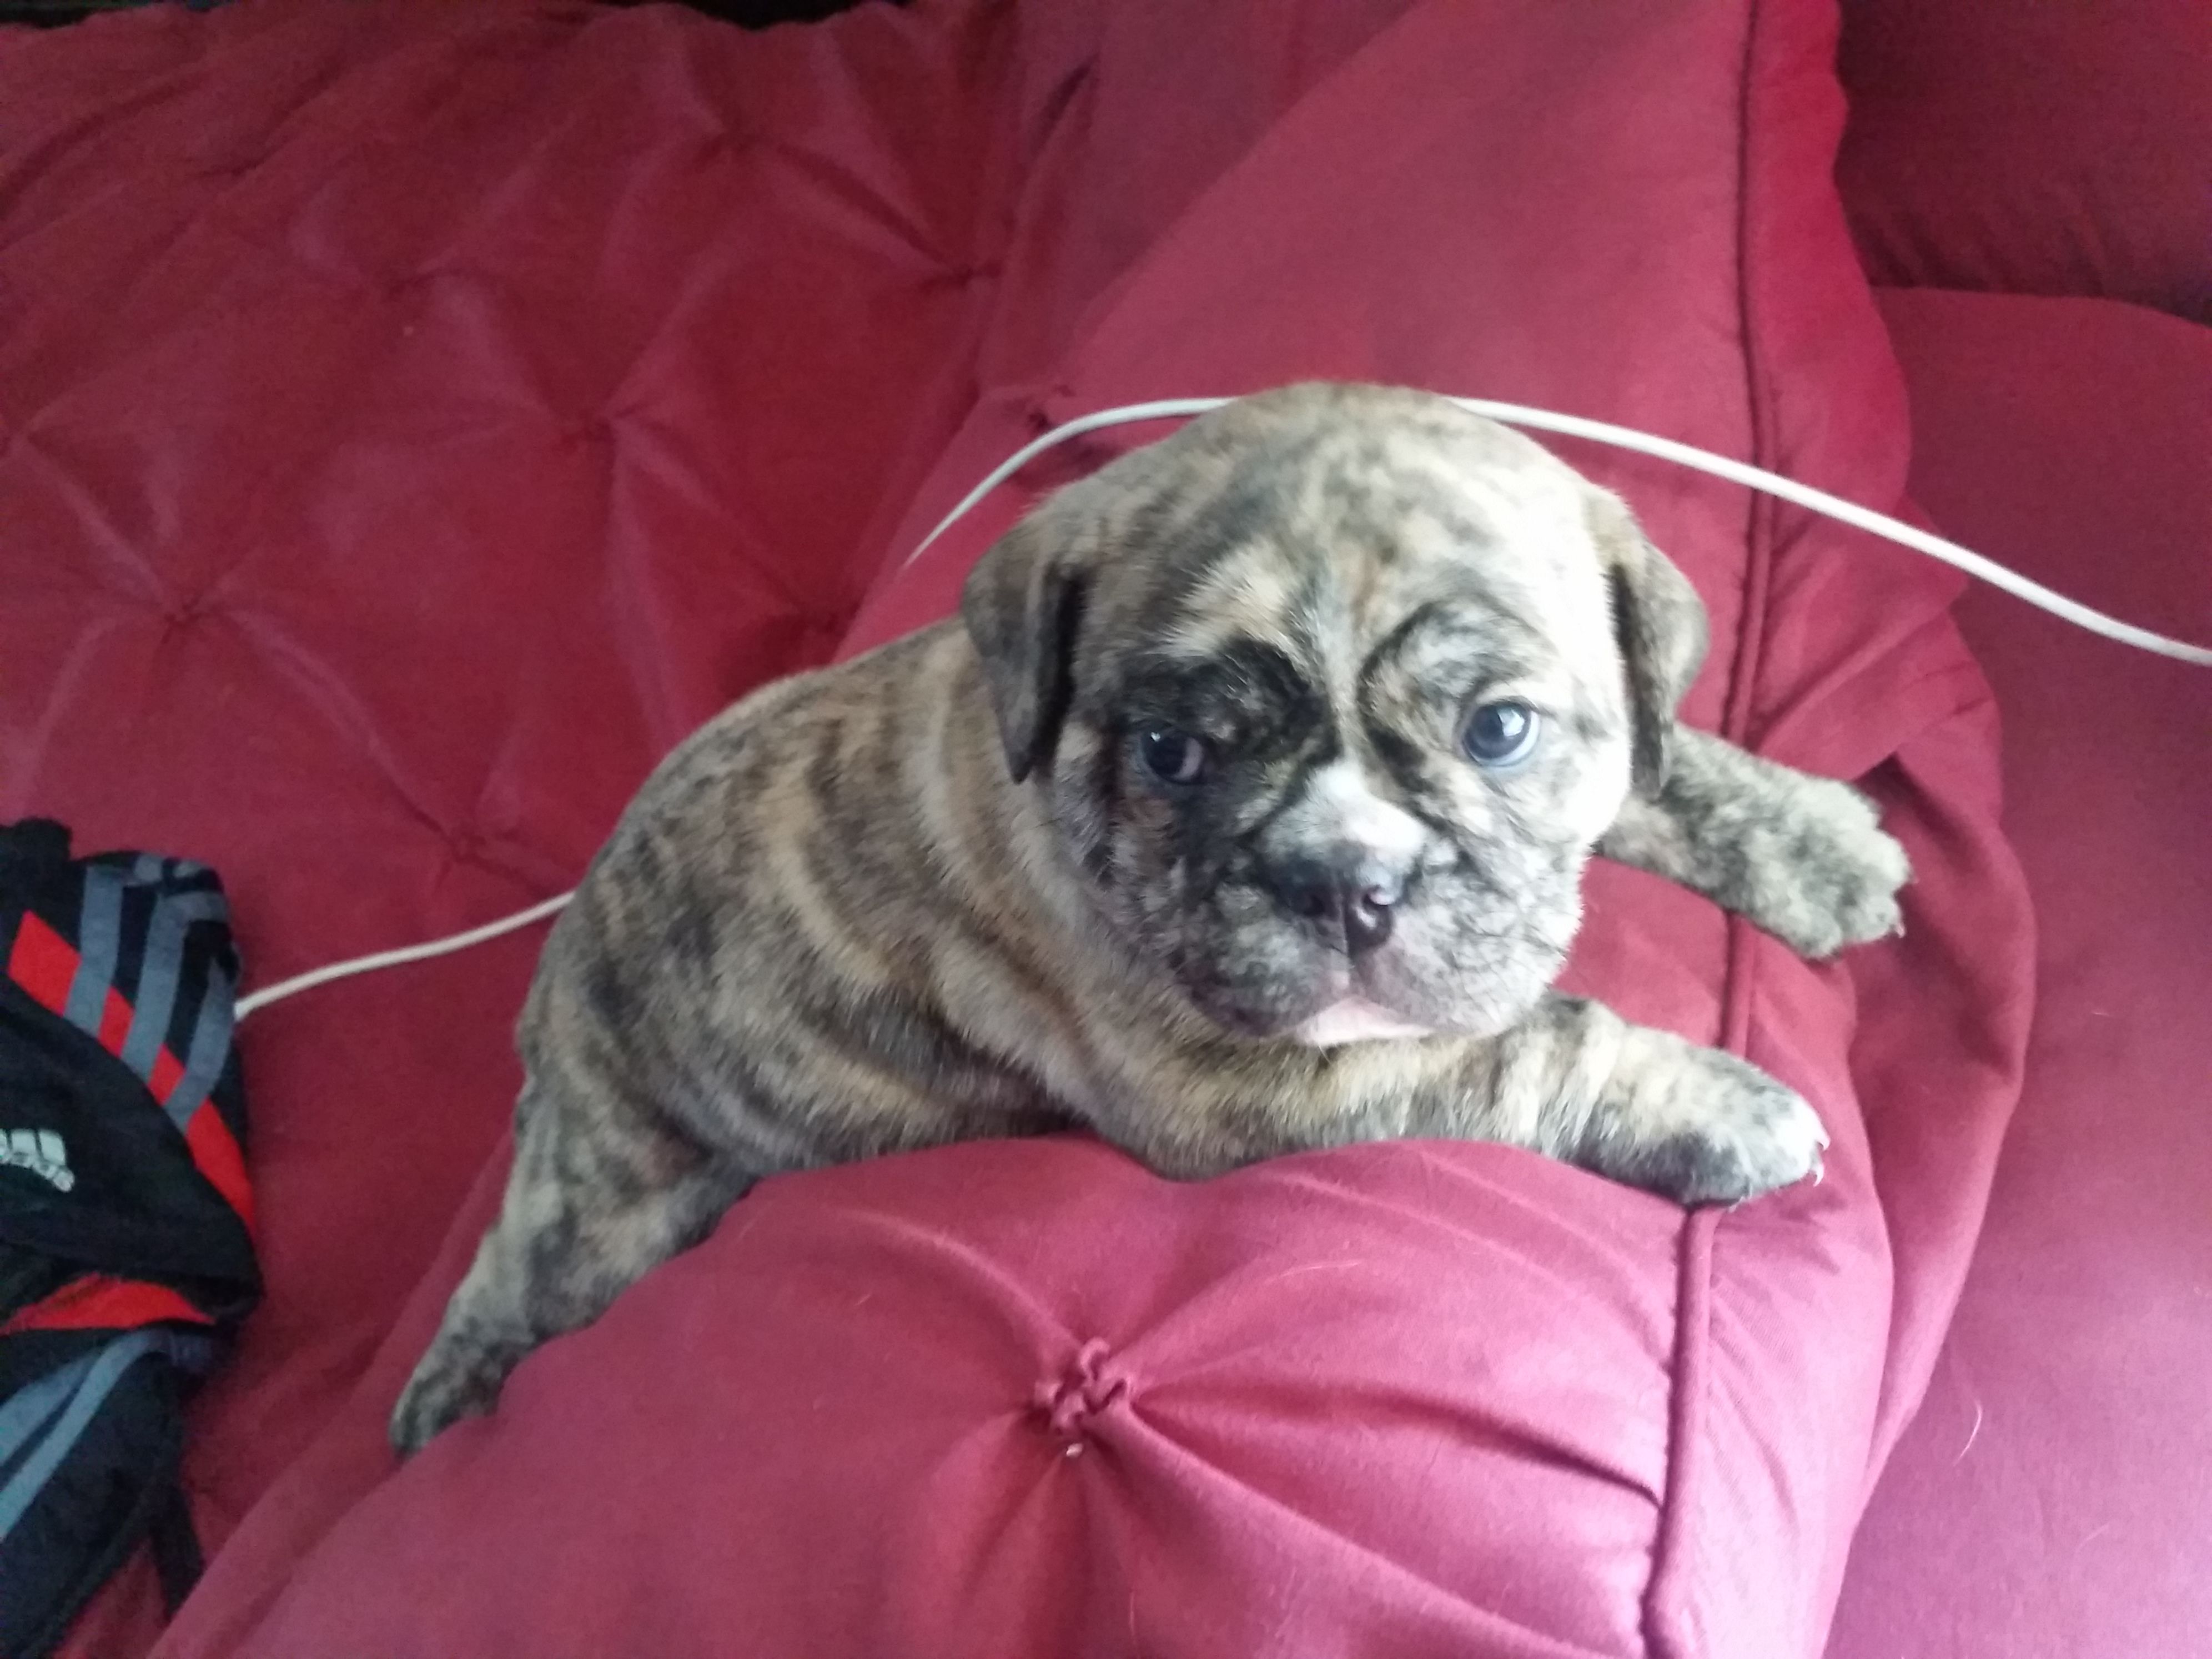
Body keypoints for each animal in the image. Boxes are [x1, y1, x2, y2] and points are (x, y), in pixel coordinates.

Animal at [391, 383, 1908, 1456]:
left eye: (1498, 729)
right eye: (1174, 753)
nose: (1341, 882)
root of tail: (556, 979)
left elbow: (1658, 766)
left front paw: (1812, 843)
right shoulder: (1249, 1087)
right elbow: (1529, 1044)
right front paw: (1715, 1106)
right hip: (600, 1206)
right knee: (520, 1258)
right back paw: (453, 1387)